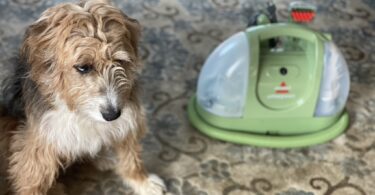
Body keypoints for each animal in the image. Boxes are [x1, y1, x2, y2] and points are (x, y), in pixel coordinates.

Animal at [0, 0, 167, 195]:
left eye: (120, 61)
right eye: (83, 67)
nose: (112, 115)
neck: (80, 112)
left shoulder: (128, 118)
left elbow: (130, 155)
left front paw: (142, 181)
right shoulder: (39, 145)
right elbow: (32, 180)